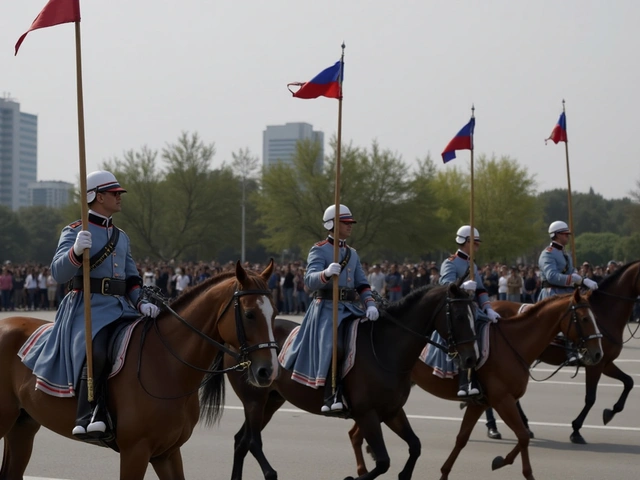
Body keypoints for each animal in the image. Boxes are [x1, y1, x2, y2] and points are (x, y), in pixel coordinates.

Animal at [0, 260, 280, 478]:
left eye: (275, 313)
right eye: (249, 314)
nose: (268, 371)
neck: (169, 366)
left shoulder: (167, 453)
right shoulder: (135, 452)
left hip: (22, 426)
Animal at [222, 284, 478, 478]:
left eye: (475, 316)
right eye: (459, 316)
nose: (471, 358)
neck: (386, 349)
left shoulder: (392, 411)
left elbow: (415, 446)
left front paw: (404, 474)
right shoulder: (367, 414)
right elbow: (383, 461)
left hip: (271, 401)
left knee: (240, 441)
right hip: (254, 400)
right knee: (252, 441)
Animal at [348, 288, 604, 480]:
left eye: (594, 318)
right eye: (584, 319)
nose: (598, 354)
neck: (514, 343)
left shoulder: (481, 403)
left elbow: (463, 438)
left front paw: (447, 472)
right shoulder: (502, 400)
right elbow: (522, 436)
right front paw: (513, 466)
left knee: (355, 433)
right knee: (356, 433)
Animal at [492, 260, 640, 444]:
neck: (604, 315)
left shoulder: (604, 362)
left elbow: (629, 382)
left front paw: (610, 412)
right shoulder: (595, 365)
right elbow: (590, 398)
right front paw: (576, 429)